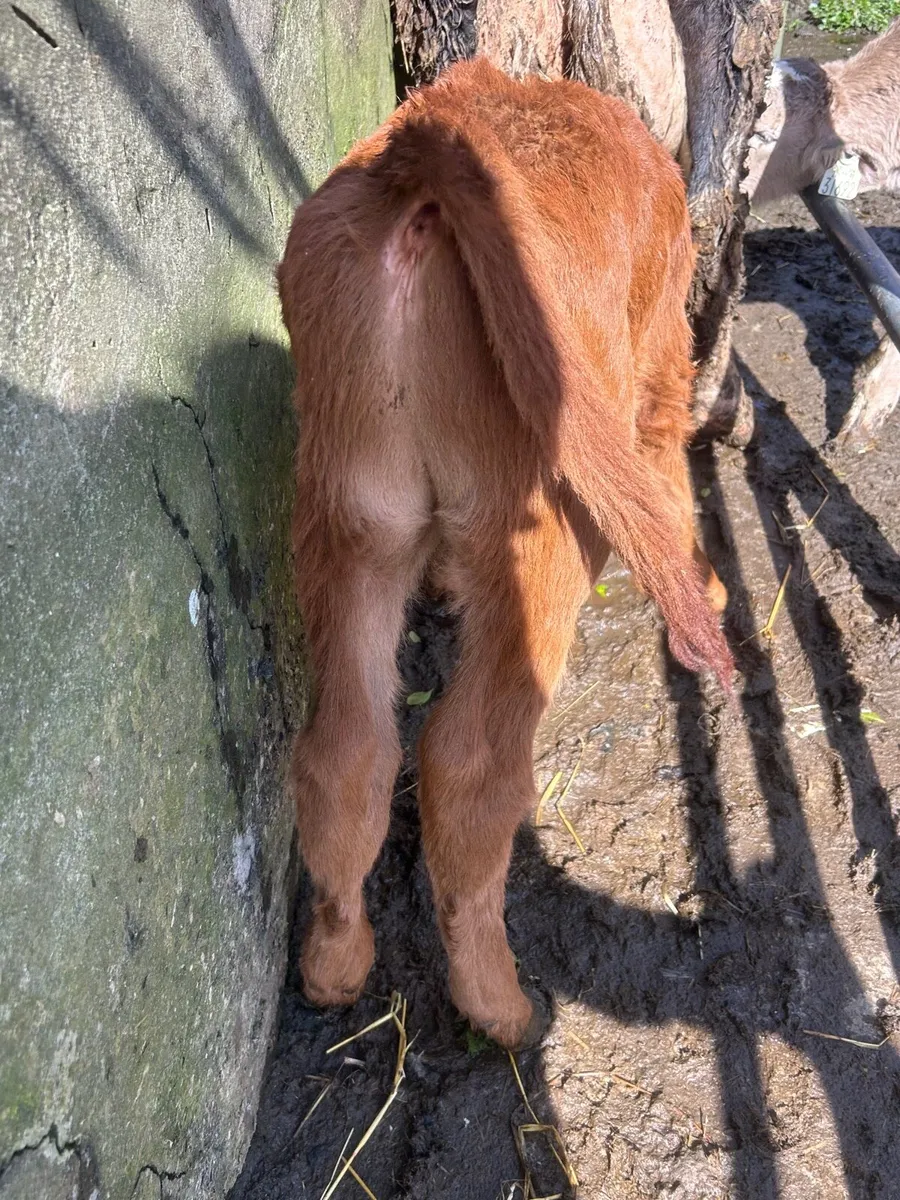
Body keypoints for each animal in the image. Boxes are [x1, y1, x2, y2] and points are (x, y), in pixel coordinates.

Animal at [278, 58, 732, 1049]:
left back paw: (333, 967)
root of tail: (440, 131)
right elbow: (666, 467)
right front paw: (709, 588)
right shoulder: (659, 358)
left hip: (348, 512)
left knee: (347, 749)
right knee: (467, 761)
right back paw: (500, 1005)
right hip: (539, 529)